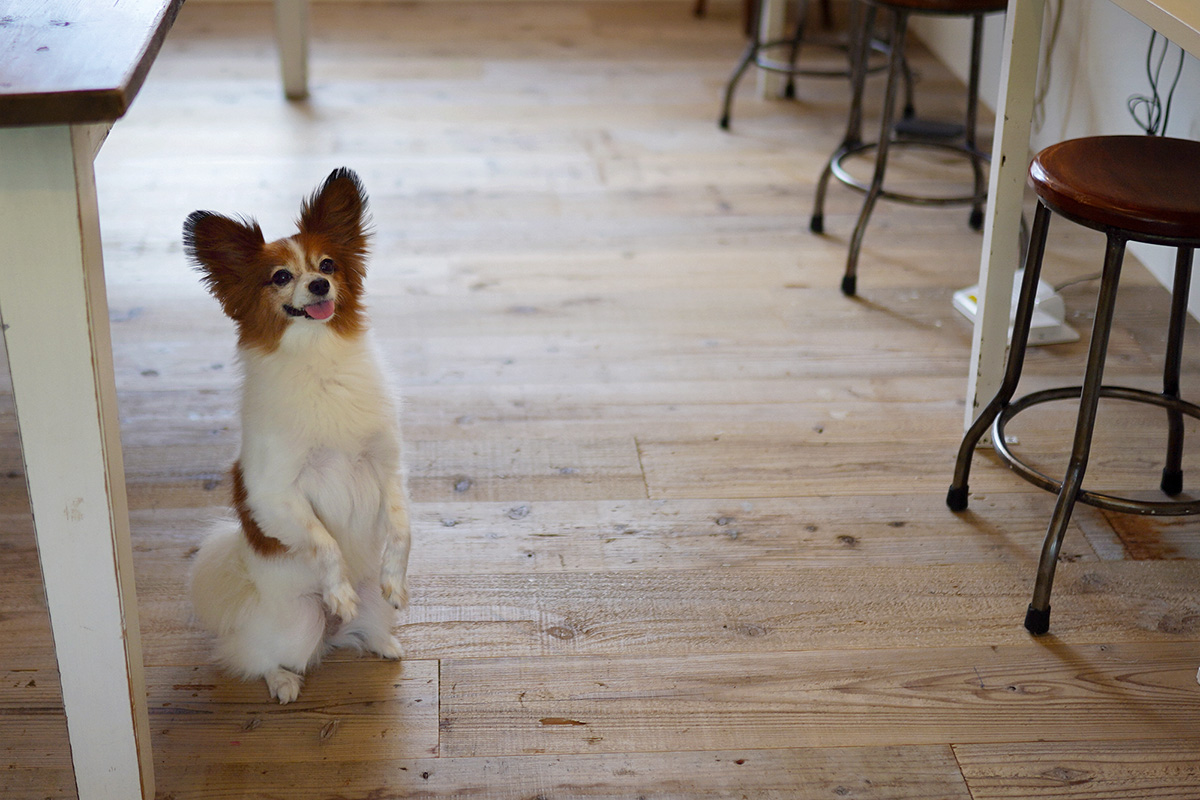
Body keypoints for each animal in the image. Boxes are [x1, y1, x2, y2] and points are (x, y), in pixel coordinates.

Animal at [183, 167, 412, 700]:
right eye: (281, 277)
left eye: (327, 264)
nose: (320, 284)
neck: (318, 358)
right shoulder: (276, 495)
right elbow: (323, 541)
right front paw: (339, 591)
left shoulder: (386, 465)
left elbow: (401, 527)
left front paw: (396, 578)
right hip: (300, 622)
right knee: (253, 655)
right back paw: (283, 677)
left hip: (365, 610)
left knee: (357, 628)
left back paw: (379, 640)